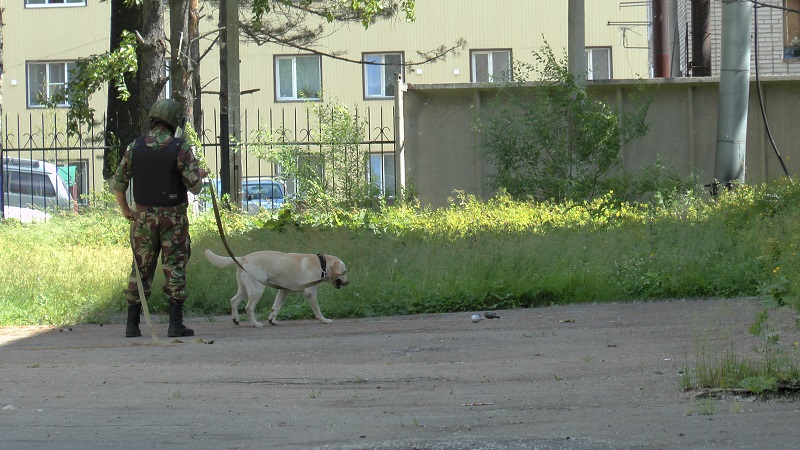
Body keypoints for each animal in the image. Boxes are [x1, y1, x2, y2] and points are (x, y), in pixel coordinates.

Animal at [205, 248, 348, 326]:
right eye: (345, 271)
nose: (348, 282)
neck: (322, 264)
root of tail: (244, 258)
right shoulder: (310, 293)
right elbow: (317, 310)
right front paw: (324, 320)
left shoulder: (283, 291)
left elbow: (276, 307)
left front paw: (272, 320)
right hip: (257, 290)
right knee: (248, 307)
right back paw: (255, 324)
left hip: (245, 289)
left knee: (233, 301)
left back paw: (235, 319)